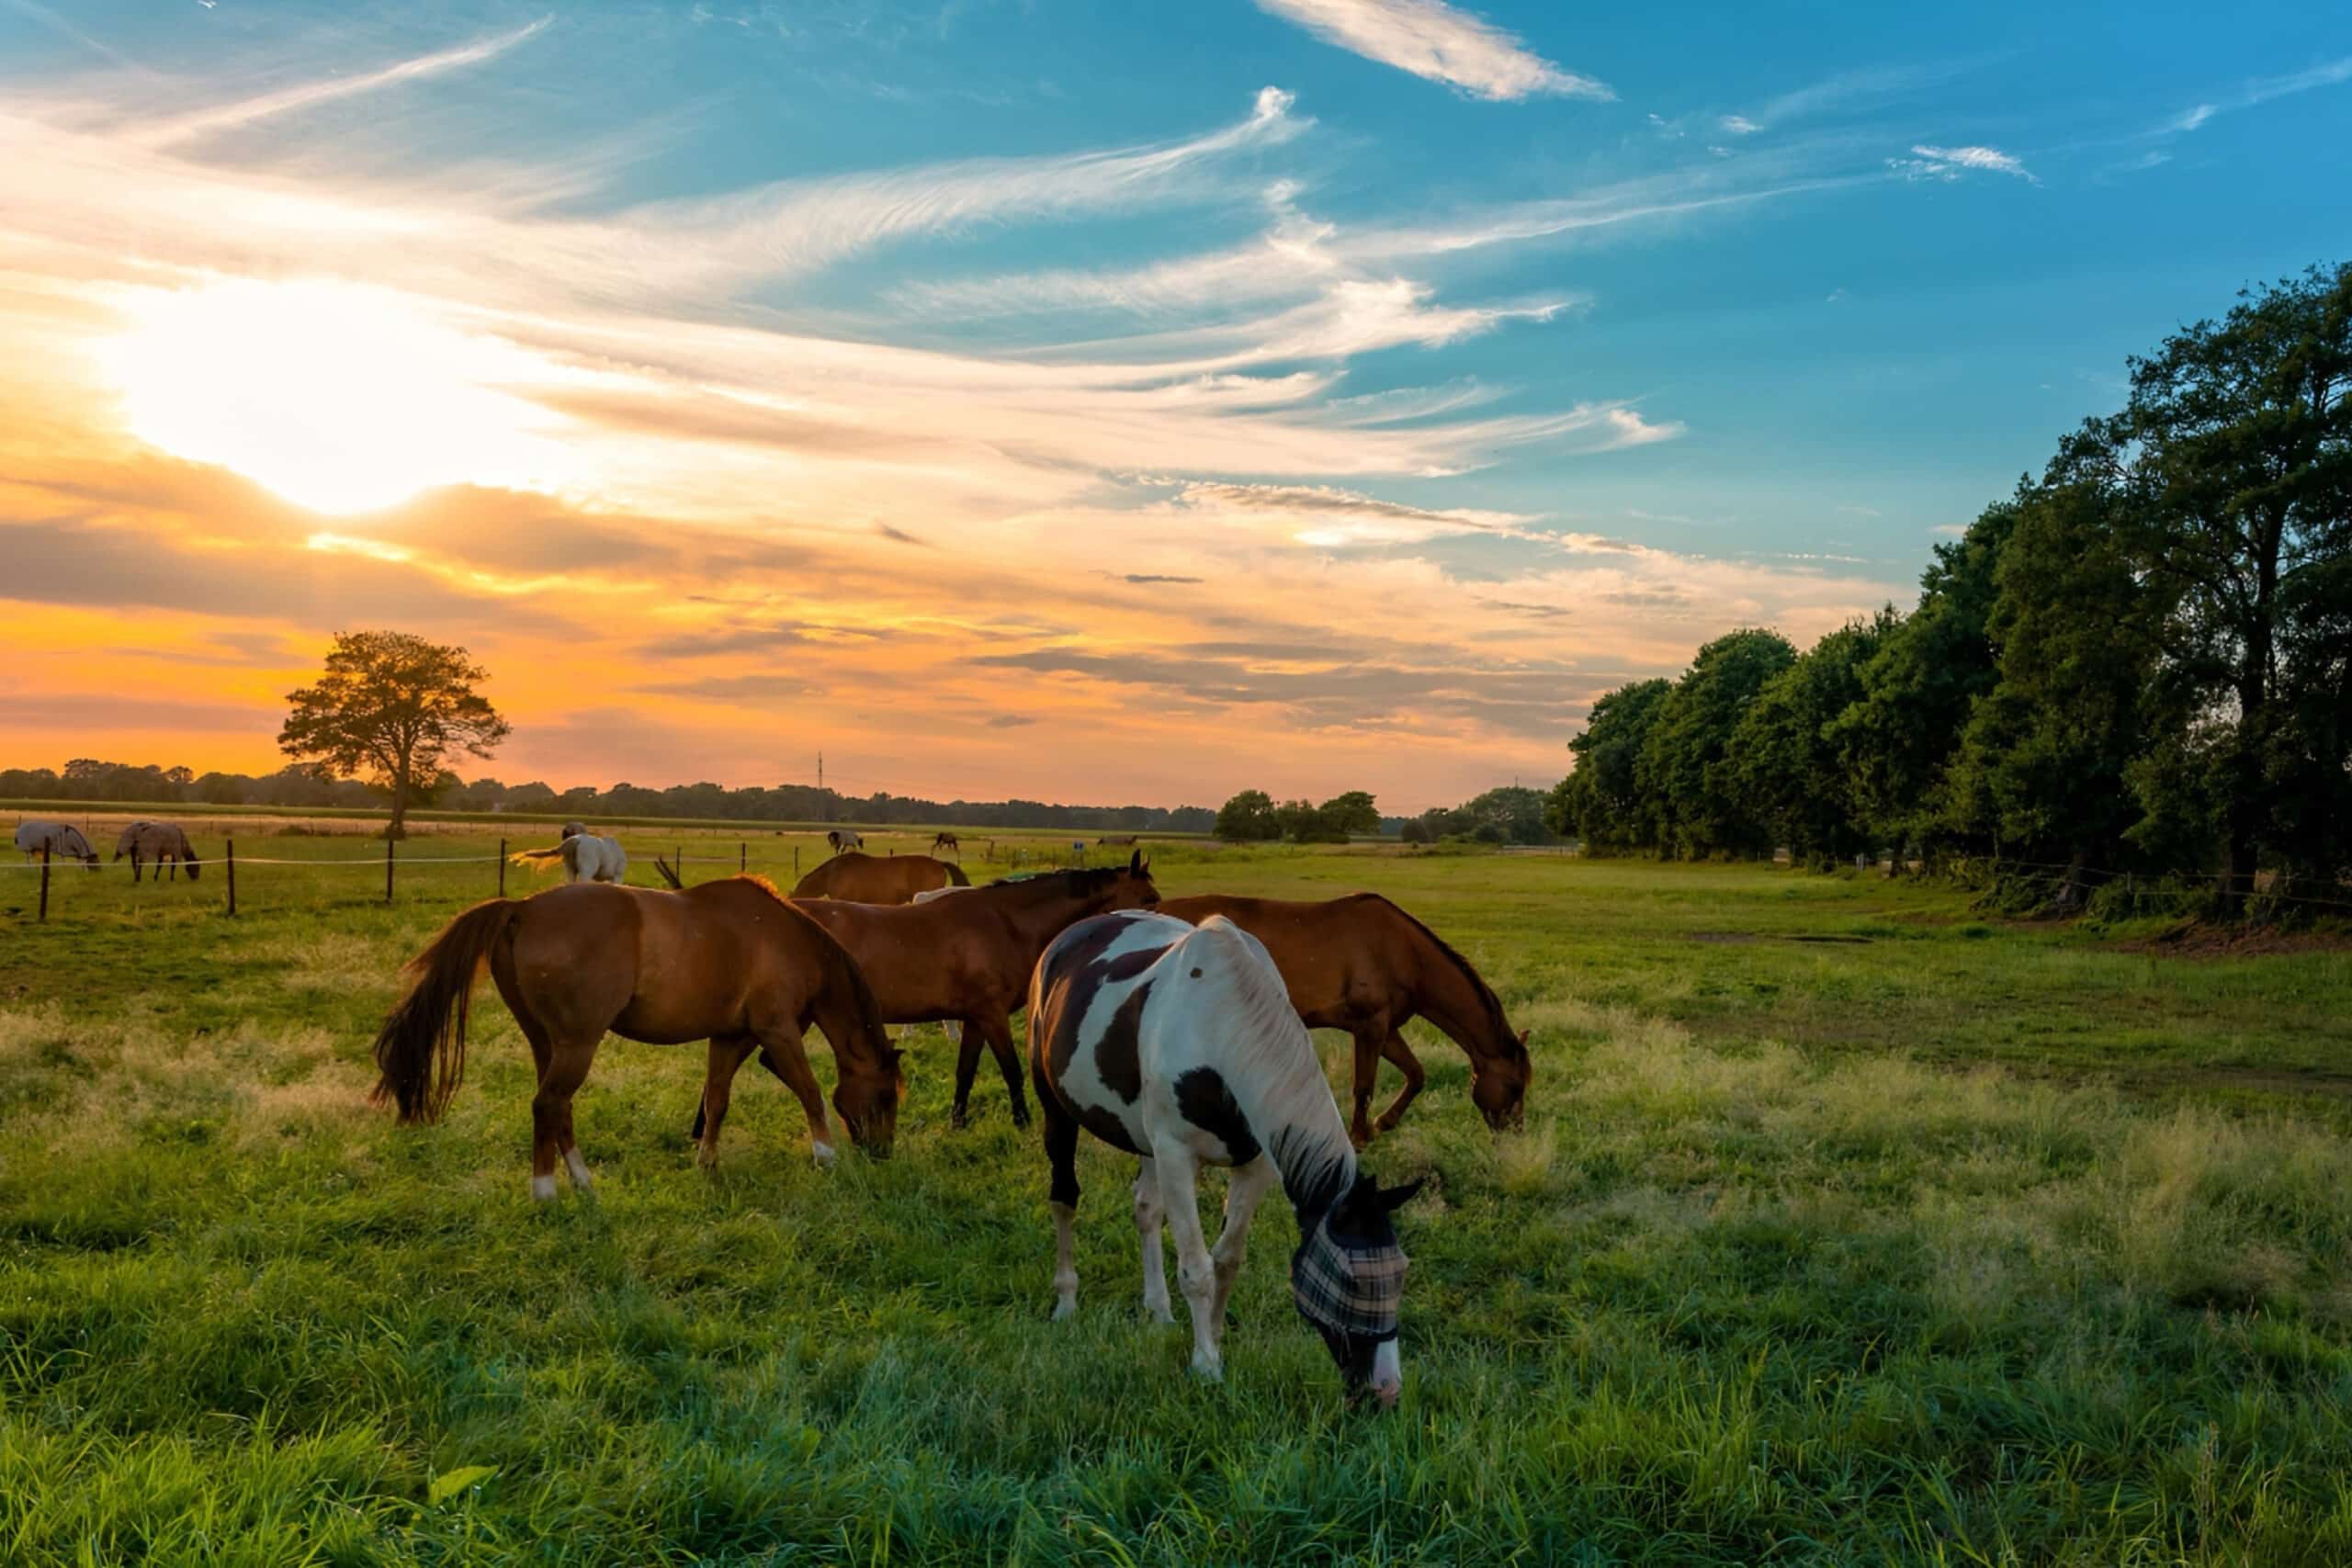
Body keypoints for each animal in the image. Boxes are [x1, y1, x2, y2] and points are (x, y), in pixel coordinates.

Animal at [371, 879, 903, 1194]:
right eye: (885, 1097)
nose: (882, 1154)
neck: (783, 936)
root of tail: (522, 908)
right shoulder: (777, 1031)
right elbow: (810, 1092)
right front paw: (826, 1157)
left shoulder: (729, 1037)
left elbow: (716, 1101)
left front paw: (707, 1162)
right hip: (579, 1043)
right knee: (548, 1105)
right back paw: (545, 1192)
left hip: (549, 1044)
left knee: (557, 1107)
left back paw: (583, 1183)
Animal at [1030, 907, 1411, 1410]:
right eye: (1351, 1282)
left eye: (1401, 1274)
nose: (1385, 1391)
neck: (1219, 1025)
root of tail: (1067, 938)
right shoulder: (1176, 1156)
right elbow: (1196, 1268)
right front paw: (1206, 1366)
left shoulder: (1255, 1164)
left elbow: (1227, 1260)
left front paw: (1211, 1337)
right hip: (1057, 1109)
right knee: (1064, 1199)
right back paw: (1067, 1302)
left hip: (1146, 1140)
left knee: (1146, 1210)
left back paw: (1159, 1311)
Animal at [1152, 893, 1523, 1142]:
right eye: (1515, 1086)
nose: (1515, 1135)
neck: (1403, 951)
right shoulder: (1370, 1026)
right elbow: (1364, 1086)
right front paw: (1359, 1137)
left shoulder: (1385, 1028)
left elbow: (1416, 1074)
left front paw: (1382, 1124)